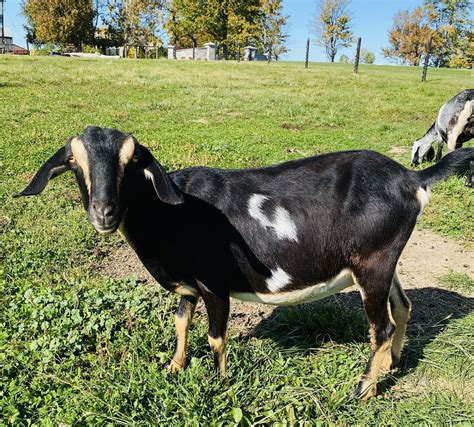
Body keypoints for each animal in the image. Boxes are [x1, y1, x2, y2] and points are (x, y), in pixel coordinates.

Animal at [14, 127, 474, 402]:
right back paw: (392, 366)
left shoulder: (213, 283)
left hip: (372, 262)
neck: (169, 214)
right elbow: (181, 322)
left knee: (382, 327)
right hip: (384, 261)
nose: (104, 213)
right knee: (403, 307)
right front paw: (173, 368)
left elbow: (217, 337)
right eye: (75, 164)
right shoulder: (189, 286)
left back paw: (363, 389)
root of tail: (412, 180)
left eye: (132, 163)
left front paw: (220, 385)